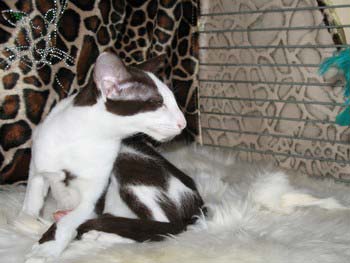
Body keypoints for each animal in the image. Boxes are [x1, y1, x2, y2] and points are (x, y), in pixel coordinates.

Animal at [19, 52, 204, 260]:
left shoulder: (92, 198)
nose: (183, 123)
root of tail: (197, 203)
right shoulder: (38, 165)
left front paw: (47, 247)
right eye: (158, 103)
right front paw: (29, 221)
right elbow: (31, 200)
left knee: (166, 228)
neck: (81, 136)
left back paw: (101, 235)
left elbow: (70, 220)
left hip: (127, 158)